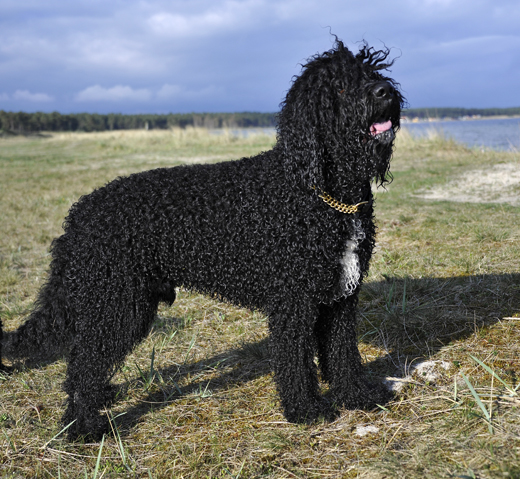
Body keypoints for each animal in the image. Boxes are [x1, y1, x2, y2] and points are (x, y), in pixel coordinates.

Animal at [0, 39, 404, 440]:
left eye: (372, 72)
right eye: (339, 87)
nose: (384, 92)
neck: (318, 191)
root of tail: (78, 217)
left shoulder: (341, 298)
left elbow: (343, 353)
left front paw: (356, 395)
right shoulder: (294, 302)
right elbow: (295, 362)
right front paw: (305, 409)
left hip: (124, 304)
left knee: (85, 361)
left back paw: (100, 400)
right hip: (116, 303)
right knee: (83, 363)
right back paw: (84, 426)